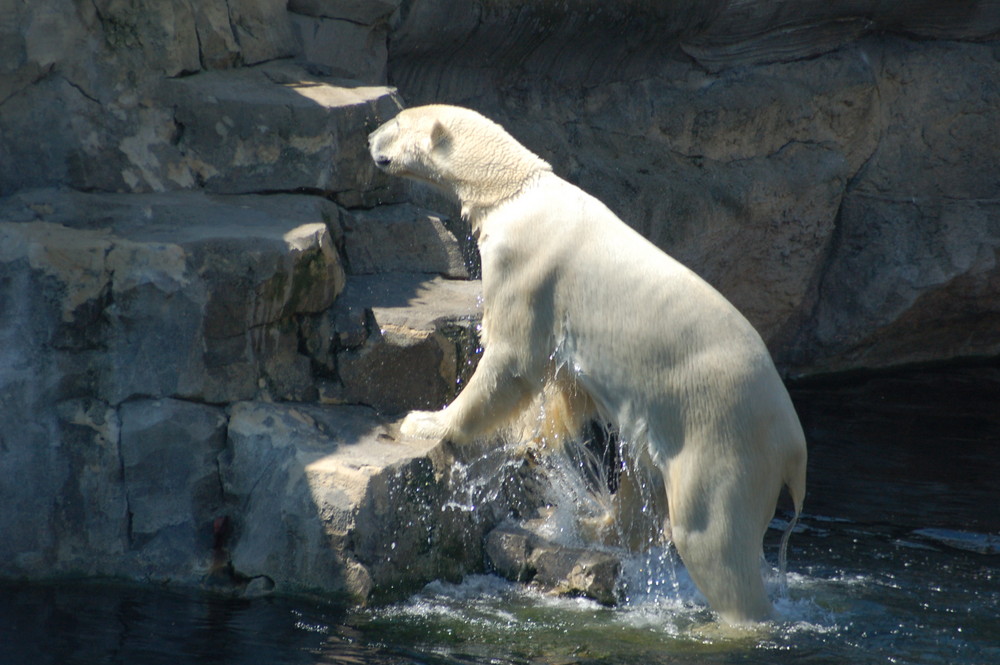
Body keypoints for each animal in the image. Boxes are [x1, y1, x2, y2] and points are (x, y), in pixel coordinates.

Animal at [368, 104, 804, 624]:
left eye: (396, 121)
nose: (370, 138)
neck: (517, 188)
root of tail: (794, 447)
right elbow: (567, 389)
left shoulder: (526, 265)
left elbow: (511, 360)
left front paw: (426, 421)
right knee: (646, 489)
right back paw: (589, 524)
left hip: (722, 429)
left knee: (711, 536)